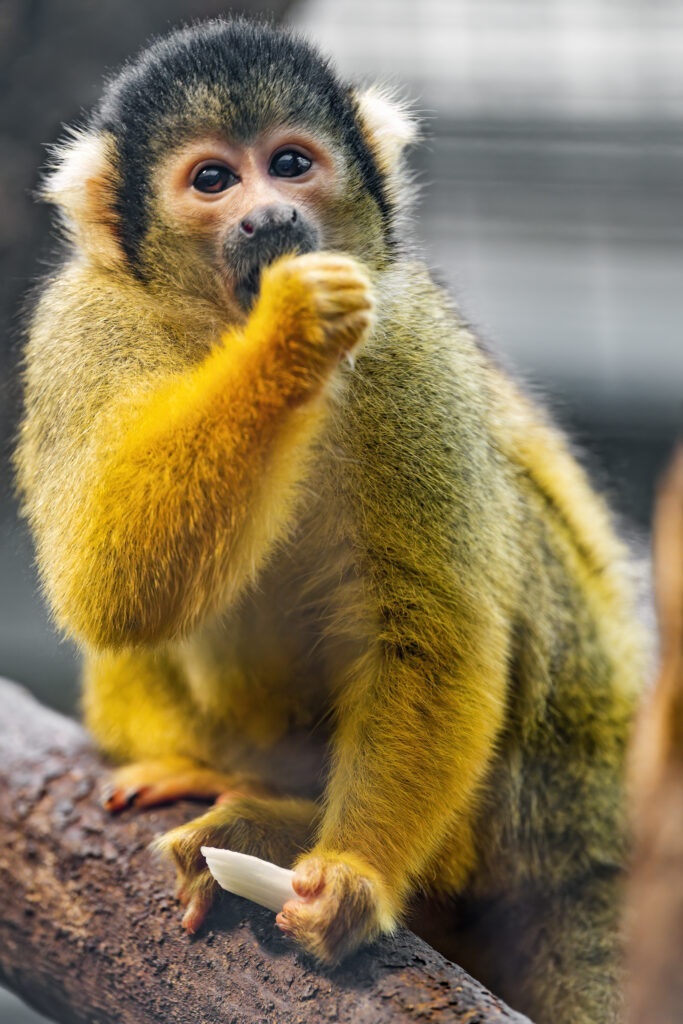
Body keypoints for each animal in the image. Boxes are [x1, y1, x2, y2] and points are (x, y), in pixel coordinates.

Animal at [14, 18, 647, 1024]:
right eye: (213, 180)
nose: (271, 218)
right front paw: (290, 332)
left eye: (290, 163)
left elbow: (433, 629)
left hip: (564, 772)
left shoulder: (403, 338)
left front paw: (353, 878)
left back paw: (295, 834)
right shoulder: (78, 321)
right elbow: (110, 586)